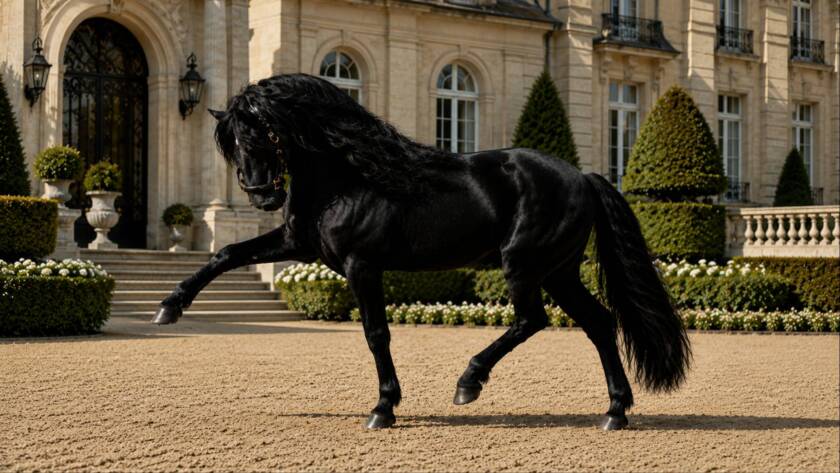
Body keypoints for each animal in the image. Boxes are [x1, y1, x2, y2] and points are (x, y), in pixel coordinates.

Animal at [152, 73, 691, 431]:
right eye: (231, 142)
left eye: (267, 132)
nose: (263, 195)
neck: (350, 176)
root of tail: (583, 175)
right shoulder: (299, 243)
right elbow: (226, 253)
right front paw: (169, 307)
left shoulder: (362, 266)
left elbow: (376, 335)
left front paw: (383, 409)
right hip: (558, 271)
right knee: (598, 323)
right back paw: (615, 411)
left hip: (524, 265)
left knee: (531, 320)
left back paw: (469, 382)